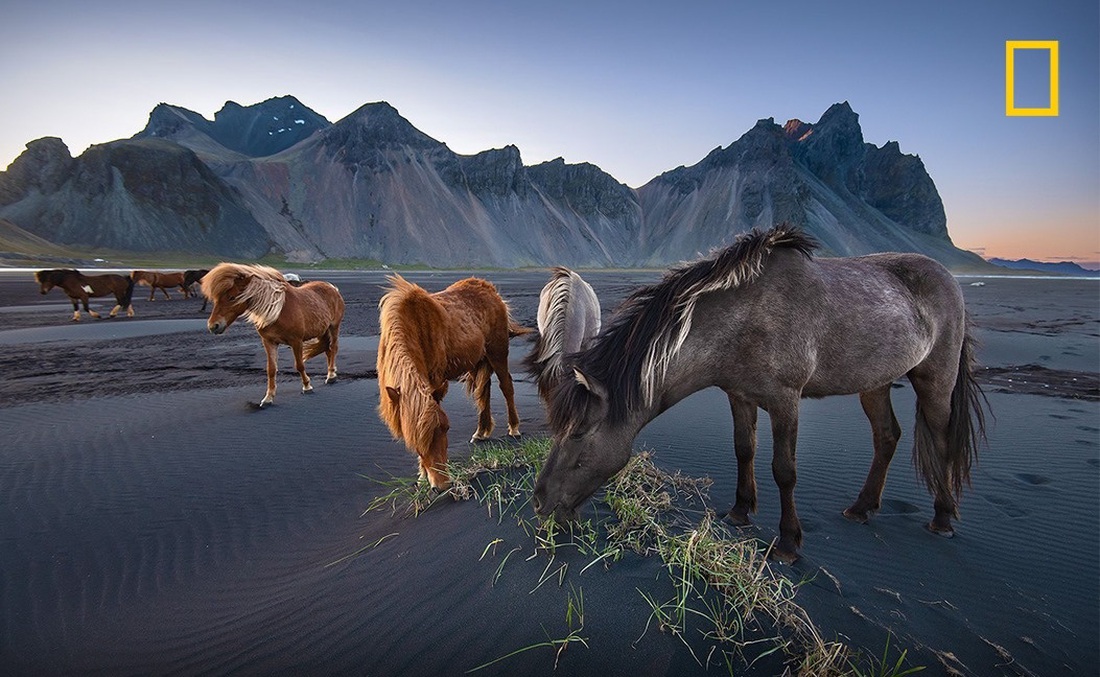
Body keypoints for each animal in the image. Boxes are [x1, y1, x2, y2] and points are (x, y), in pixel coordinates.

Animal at [201, 260, 343, 407]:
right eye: (216, 299)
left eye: (231, 297)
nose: (213, 326)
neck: (278, 311)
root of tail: (332, 288)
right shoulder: (269, 342)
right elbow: (271, 369)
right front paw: (268, 398)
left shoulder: (296, 341)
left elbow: (299, 365)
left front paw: (307, 386)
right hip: (322, 331)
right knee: (328, 350)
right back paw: (330, 374)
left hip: (334, 327)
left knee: (333, 348)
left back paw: (331, 376)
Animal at [378, 275, 532, 493]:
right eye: (415, 439)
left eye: (446, 429)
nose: (442, 485)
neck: (414, 326)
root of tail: (491, 291)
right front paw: (423, 477)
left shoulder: (434, 382)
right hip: (480, 359)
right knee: (484, 391)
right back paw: (481, 432)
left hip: (498, 352)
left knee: (506, 386)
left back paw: (514, 428)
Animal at [532, 225, 990, 563]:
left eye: (578, 435)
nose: (539, 503)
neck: (745, 318)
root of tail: (947, 278)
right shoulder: (738, 395)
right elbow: (743, 450)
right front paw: (740, 511)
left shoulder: (785, 401)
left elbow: (783, 470)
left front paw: (787, 543)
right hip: (874, 382)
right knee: (887, 436)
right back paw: (861, 508)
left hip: (935, 379)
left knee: (941, 438)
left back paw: (942, 518)